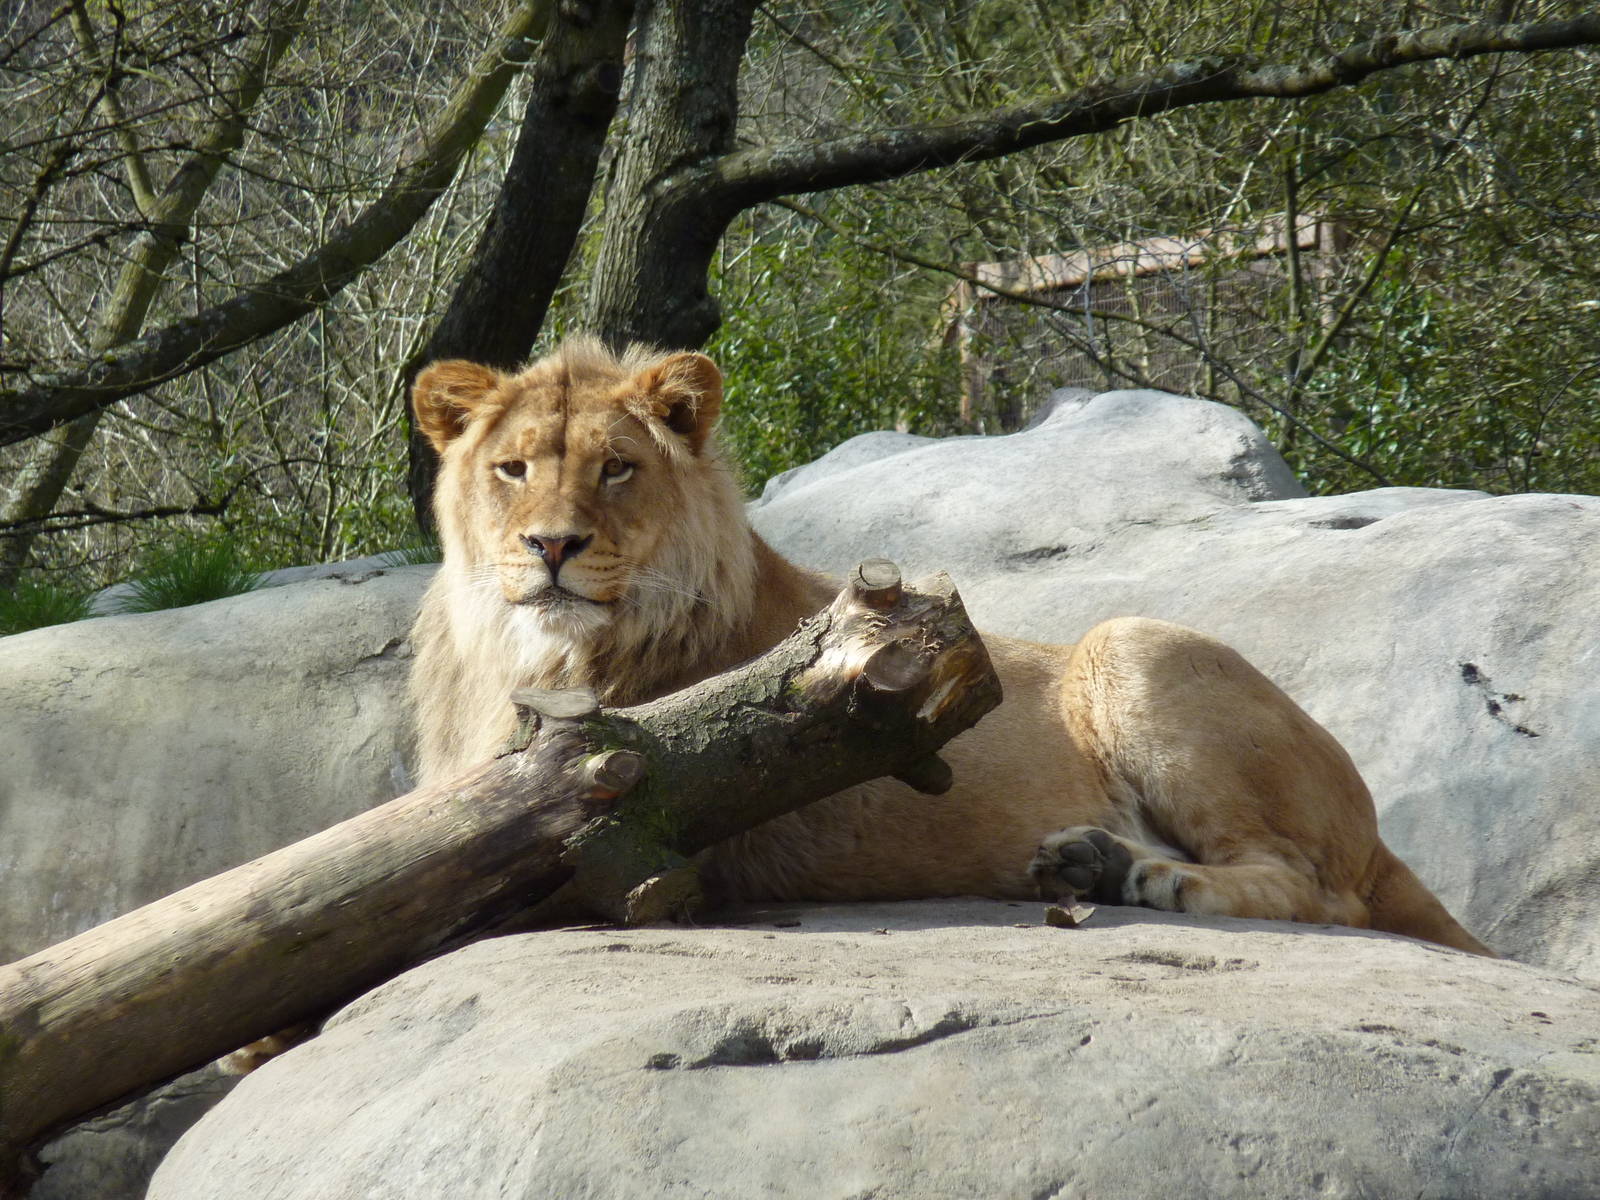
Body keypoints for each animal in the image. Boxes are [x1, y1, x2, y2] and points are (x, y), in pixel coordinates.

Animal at [408, 337, 1491, 956]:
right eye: (512, 471)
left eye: (618, 470)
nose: (551, 547)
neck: (535, 654)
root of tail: (1378, 831)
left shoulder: (629, 835)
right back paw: (1090, 865)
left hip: (1132, 643)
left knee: (1320, 892)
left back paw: (1152, 879)